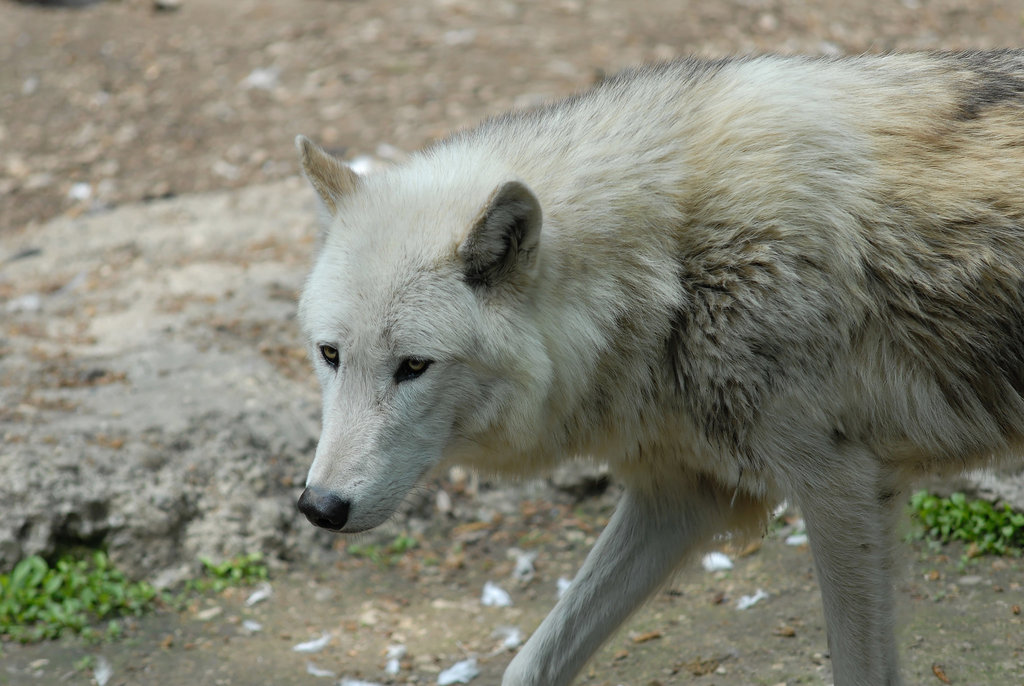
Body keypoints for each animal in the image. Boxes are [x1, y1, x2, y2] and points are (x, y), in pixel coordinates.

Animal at [292, 51, 1024, 683]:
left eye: (413, 366)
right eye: (331, 355)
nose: (319, 507)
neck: (668, 265)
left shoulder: (842, 489)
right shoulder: (682, 494)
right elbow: (532, 662)